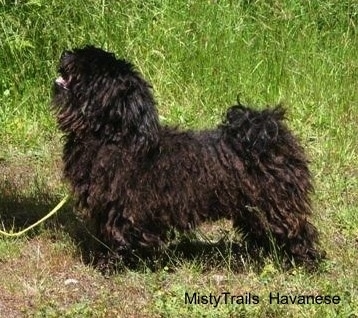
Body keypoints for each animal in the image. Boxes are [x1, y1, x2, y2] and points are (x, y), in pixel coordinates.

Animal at [53, 46, 324, 268]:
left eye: (88, 66)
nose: (65, 53)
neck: (117, 137)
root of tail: (271, 135)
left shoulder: (122, 207)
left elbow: (120, 234)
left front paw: (114, 263)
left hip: (277, 204)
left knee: (298, 230)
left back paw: (305, 261)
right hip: (253, 209)